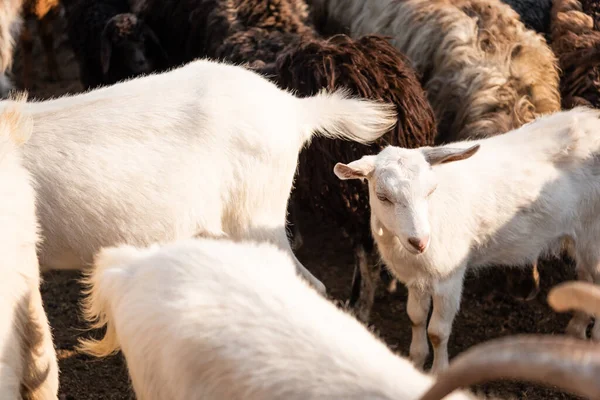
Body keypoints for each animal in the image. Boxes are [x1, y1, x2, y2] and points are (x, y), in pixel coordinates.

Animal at [336, 106, 600, 372]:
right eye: (382, 196)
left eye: (431, 190)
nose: (419, 241)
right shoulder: (416, 279)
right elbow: (416, 318)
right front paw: (415, 362)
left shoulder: (449, 276)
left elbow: (437, 332)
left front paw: (438, 371)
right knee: (586, 278)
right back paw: (576, 331)